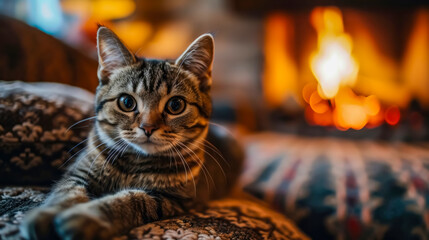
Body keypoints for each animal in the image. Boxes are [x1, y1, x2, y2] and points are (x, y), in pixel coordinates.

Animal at [20, 26, 239, 240]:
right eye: (126, 102)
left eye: (176, 105)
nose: (148, 127)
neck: (134, 162)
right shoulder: (78, 173)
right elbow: (66, 193)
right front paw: (46, 215)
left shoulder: (172, 198)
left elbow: (130, 201)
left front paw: (87, 216)